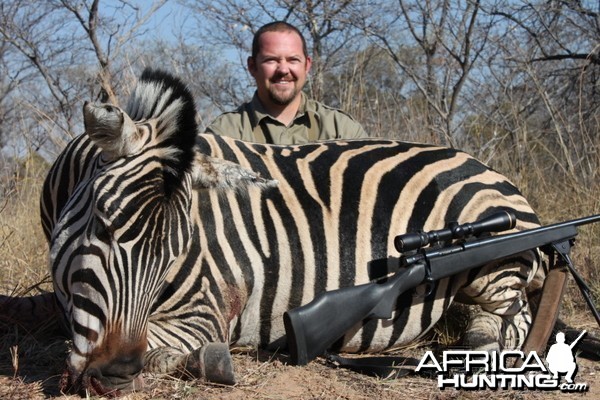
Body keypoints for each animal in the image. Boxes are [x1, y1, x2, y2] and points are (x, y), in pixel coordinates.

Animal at [31, 68, 544, 394]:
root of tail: (495, 172)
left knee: (510, 320)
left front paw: (209, 361)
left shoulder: (206, 310)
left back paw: (478, 350)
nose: (113, 375)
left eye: (175, 253)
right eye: (102, 224)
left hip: (494, 258)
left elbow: (169, 348)